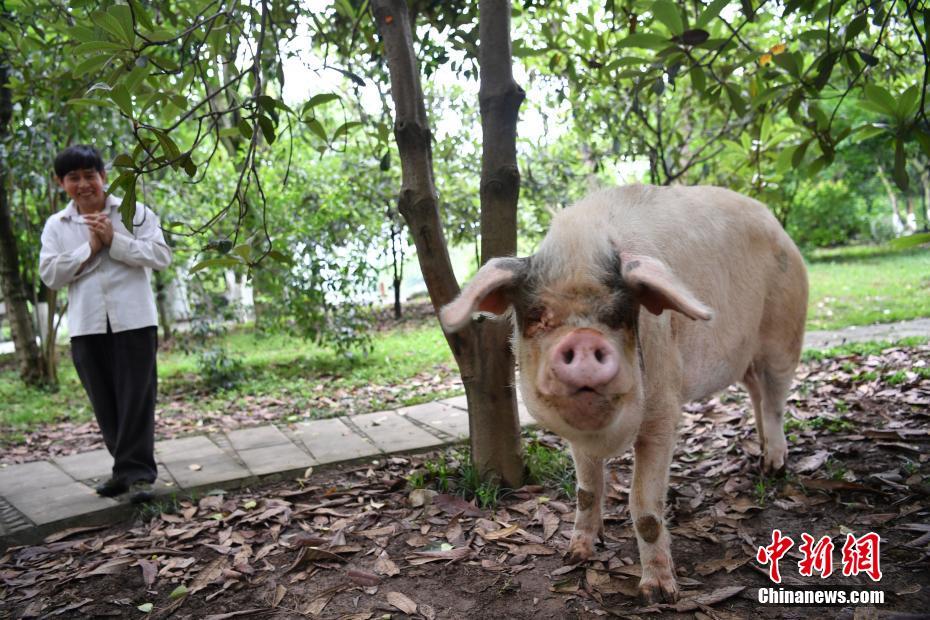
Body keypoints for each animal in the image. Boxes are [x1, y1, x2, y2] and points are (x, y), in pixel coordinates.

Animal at [436, 184, 804, 600]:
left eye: (619, 315)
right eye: (537, 316)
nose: (583, 339)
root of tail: (775, 223)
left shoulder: (663, 411)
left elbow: (644, 508)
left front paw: (658, 594)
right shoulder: (576, 440)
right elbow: (586, 490)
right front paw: (575, 555)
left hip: (784, 333)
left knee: (775, 399)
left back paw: (773, 468)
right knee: (757, 392)